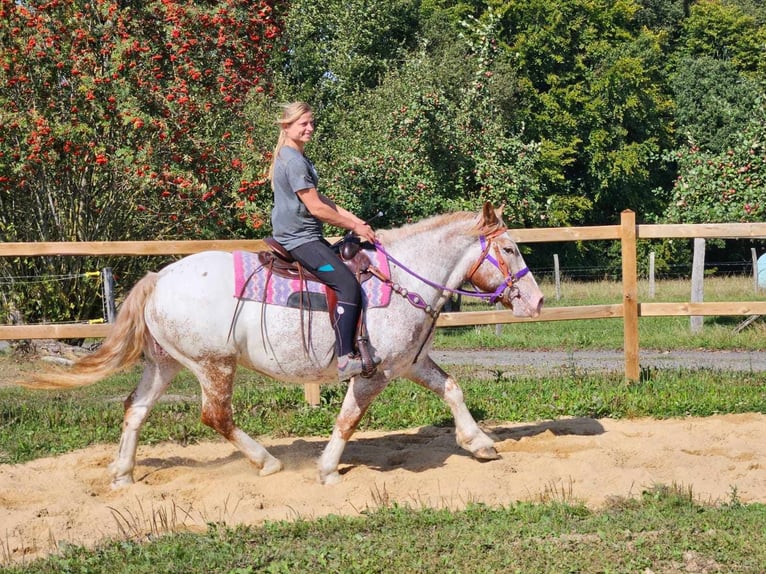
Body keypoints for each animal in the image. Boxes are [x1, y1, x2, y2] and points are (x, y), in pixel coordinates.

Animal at [22, 202, 544, 486]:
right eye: (510, 248)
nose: (536, 300)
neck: (400, 280)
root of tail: (158, 277)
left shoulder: (409, 362)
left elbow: (452, 388)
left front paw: (480, 444)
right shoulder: (373, 373)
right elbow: (348, 420)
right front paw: (328, 469)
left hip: (165, 363)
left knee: (136, 408)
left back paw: (123, 474)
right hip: (214, 365)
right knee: (216, 416)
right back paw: (267, 461)